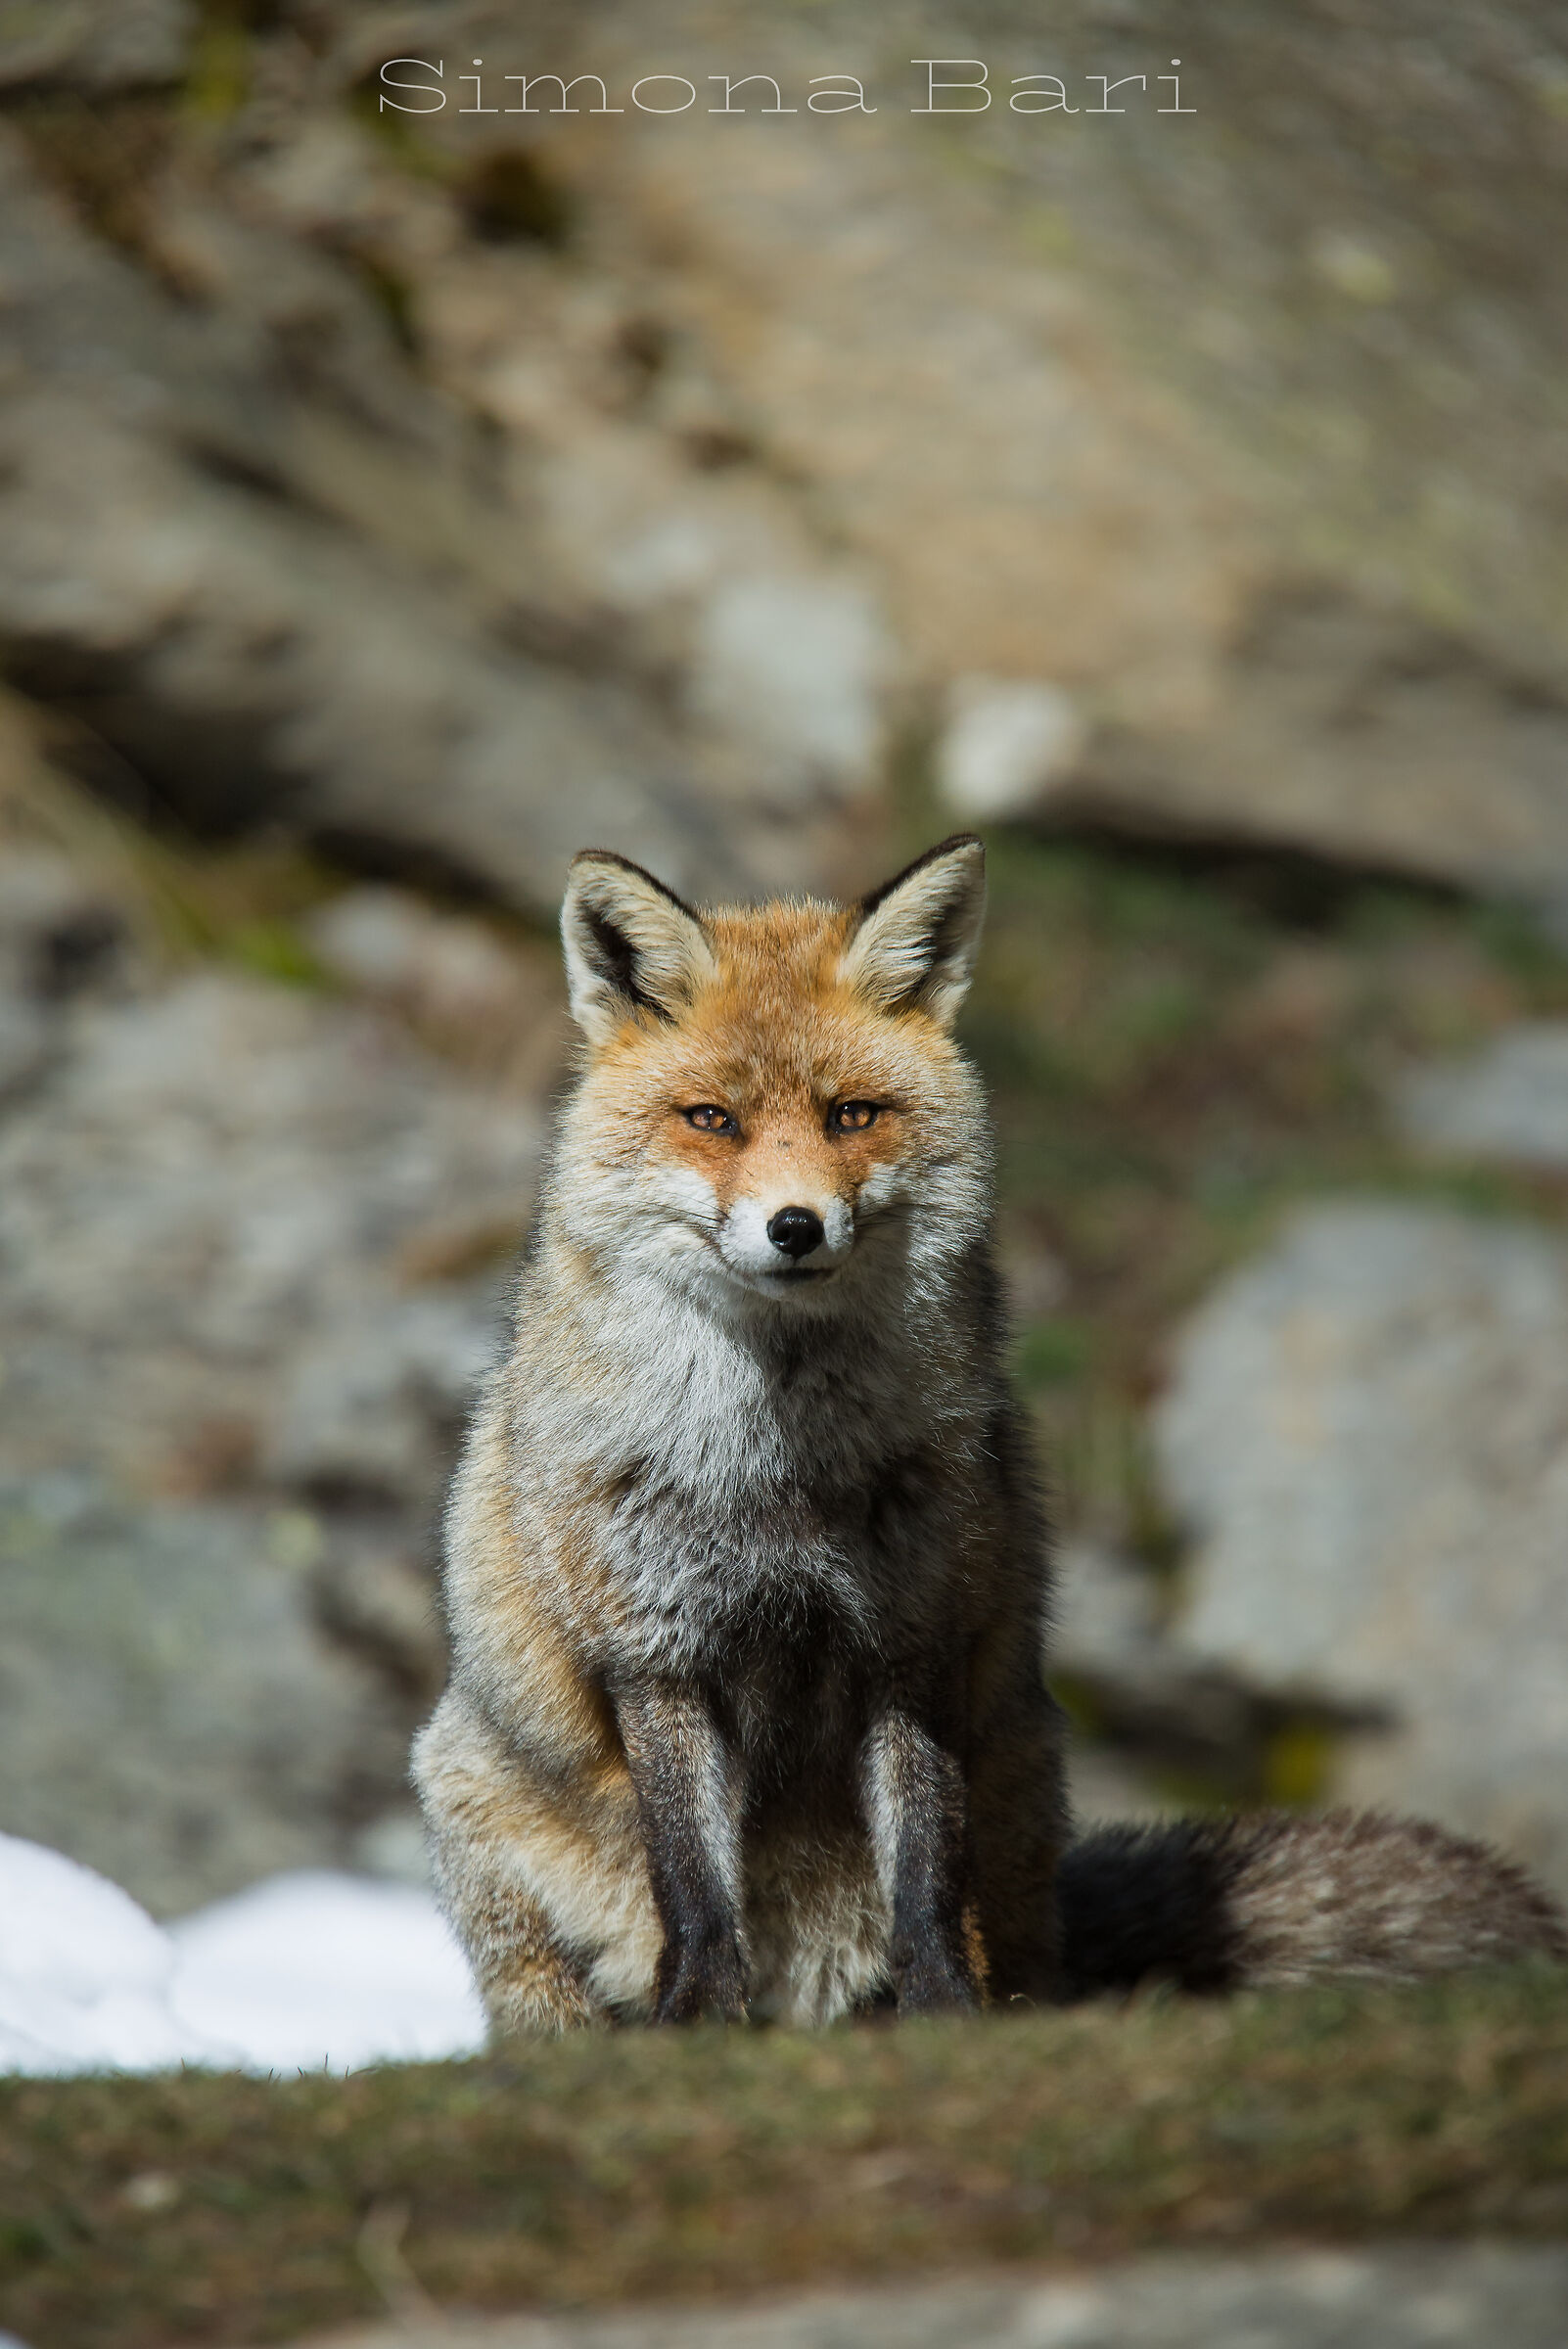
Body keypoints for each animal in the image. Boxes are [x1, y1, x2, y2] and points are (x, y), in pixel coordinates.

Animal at [413, 835, 1566, 2032]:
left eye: (853, 1116)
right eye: (712, 1120)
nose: (795, 1227)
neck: (780, 1477)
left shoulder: (918, 1635)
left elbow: (926, 1866)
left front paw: (943, 2013)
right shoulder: (654, 1653)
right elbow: (693, 1876)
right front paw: (699, 2021)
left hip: (1020, 1778)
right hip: (476, 1812)